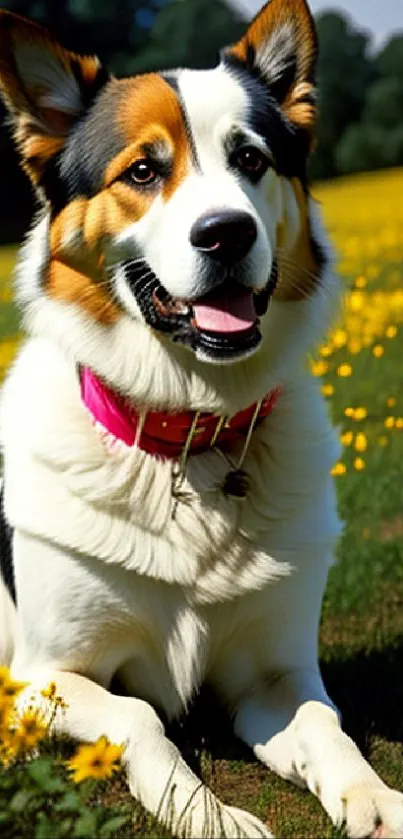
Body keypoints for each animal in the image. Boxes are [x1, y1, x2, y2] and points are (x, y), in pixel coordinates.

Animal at [0, 1, 402, 832]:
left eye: (249, 158)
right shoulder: (41, 677)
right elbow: (137, 716)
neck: (186, 433)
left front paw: (374, 798)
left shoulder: (270, 674)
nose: (226, 232)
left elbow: (324, 723)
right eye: (142, 171)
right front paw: (207, 813)